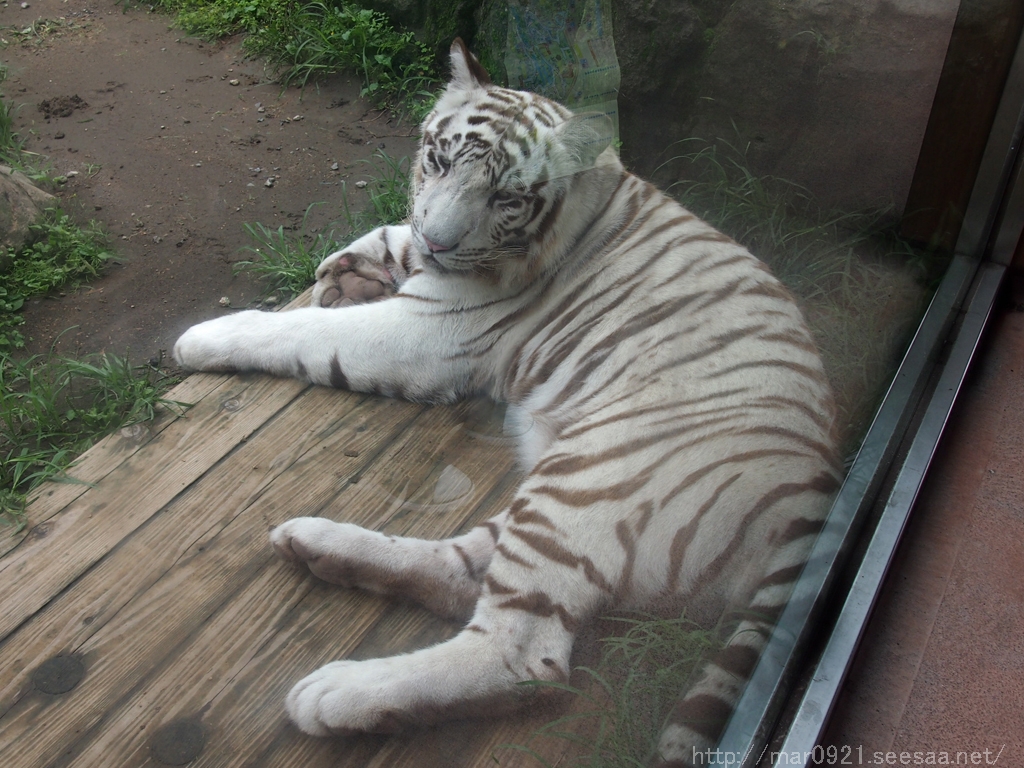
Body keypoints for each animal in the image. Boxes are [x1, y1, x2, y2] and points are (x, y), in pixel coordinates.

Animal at [174, 37, 839, 765]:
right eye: (438, 161)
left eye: (507, 197)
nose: (441, 241)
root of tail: (813, 505)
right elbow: (390, 229)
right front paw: (344, 269)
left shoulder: (425, 331)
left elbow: (299, 331)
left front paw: (205, 336)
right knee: (462, 574)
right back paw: (314, 544)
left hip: (592, 475)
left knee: (523, 659)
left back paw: (336, 695)